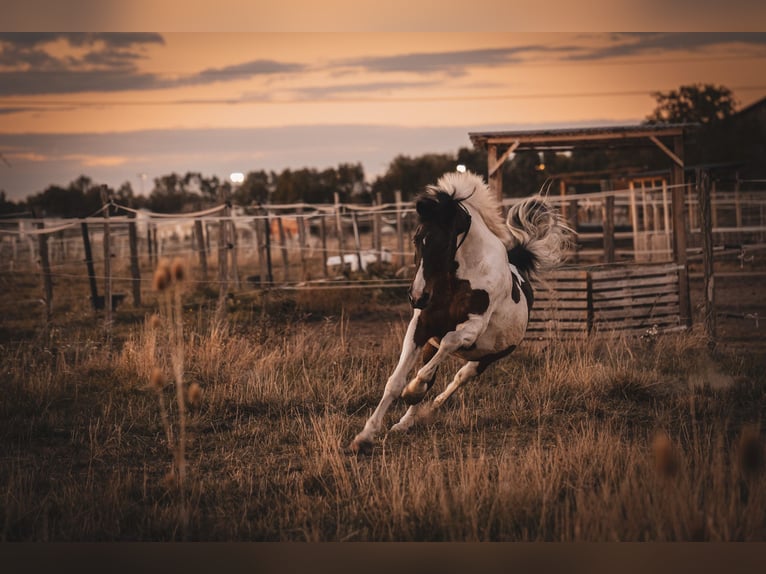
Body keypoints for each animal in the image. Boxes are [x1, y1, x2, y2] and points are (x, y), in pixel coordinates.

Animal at [350, 171, 573, 454]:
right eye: (416, 239)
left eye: (444, 243)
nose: (417, 296)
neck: (458, 279)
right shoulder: (421, 327)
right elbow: (395, 381)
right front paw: (364, 436)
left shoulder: (472, 328)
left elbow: (448, 344)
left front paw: (412, 391)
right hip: (431, 346)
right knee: (433, 376)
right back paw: (404, 423)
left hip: (487, 358)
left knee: (458, 377)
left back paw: (429, 407)